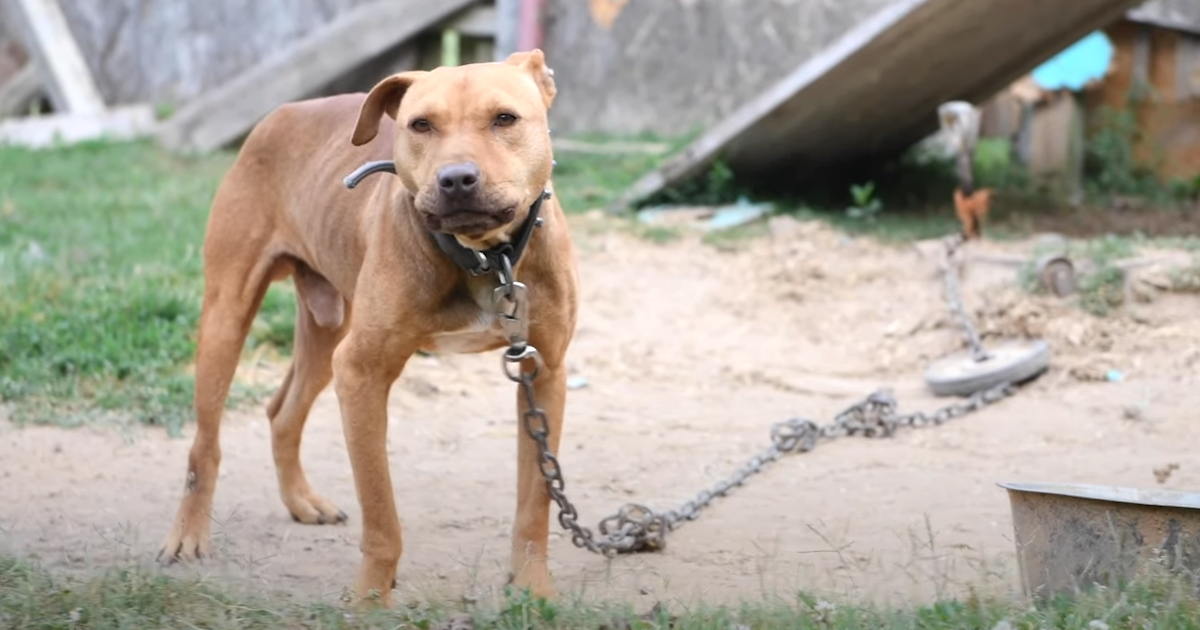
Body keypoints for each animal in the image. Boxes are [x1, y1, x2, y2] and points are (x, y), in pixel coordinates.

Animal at [157, 50, 578, 604]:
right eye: (420, 125)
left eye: (504, 119)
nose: (456, 179)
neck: (485, 257)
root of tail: (283, 112)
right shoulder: (361, 373)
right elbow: (381, 515)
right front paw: (370, 600)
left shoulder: (543, 373)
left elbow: (535, 502)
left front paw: (532, 588)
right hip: (228, 320)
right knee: (204, 446)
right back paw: (188, 534)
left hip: (326, 334)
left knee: (282, 412)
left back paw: (301, 501)